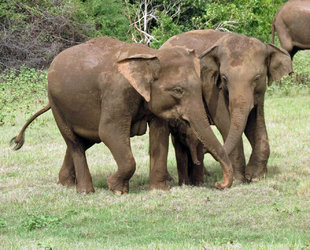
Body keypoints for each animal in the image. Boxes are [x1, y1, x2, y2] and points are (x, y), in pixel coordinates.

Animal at [12, 36, 235, 194]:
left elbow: (159, 135)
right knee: (74, 142)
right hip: (57, 104)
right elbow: (109, 132)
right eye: (178, 90)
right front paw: (117, 188)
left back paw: (66, 184)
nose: (219, 184)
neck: (149, 56)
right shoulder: (116, 93)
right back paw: (85, 192)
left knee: (85, 141)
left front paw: (159, 190)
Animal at [157, 30, 294, 185]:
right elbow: (224, 121)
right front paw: (239, 180)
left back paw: (206, 174)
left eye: (257, 77)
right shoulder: (211, 86)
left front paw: (255, 177)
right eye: (224, 78)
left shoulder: (259, 92)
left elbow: (255, 122)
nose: (218, 184)